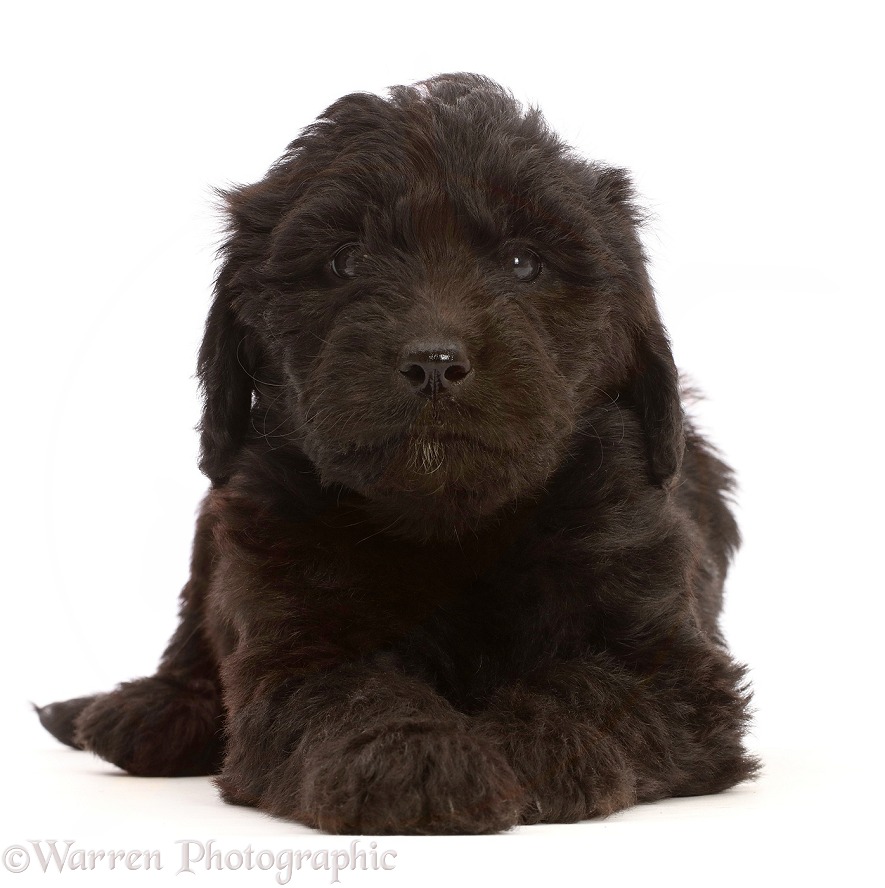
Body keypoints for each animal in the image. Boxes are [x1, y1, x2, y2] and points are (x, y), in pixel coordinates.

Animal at [39, 74, 752, 832]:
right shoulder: (290, 624)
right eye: (347, 259)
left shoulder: (674, 662)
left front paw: (520, 747)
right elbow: (345, 695)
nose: (434, 363)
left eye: (524, 262)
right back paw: (150, 711)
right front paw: (417, 762)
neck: (449, 523)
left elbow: (594, 685)